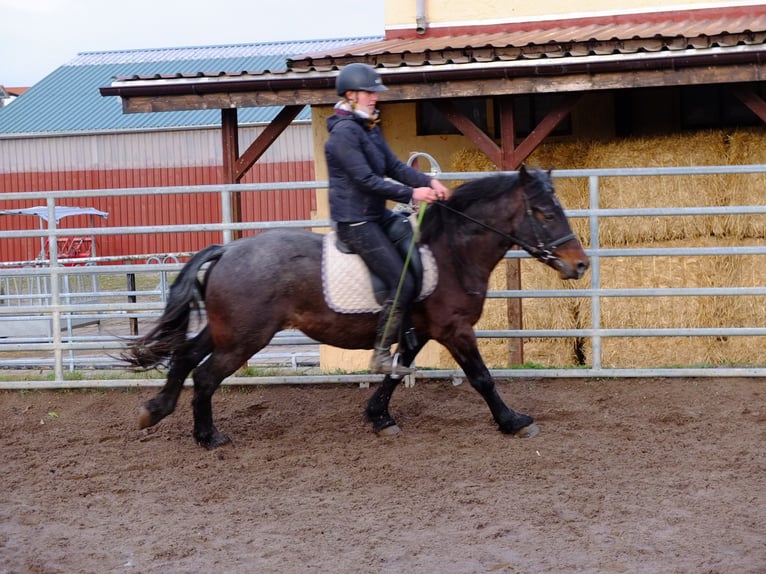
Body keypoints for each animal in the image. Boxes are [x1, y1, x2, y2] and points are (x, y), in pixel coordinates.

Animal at [126, 166, 592, 450]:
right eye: (544, 212)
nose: (581, 264)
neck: (452, 251)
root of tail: (227, 250)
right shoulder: (454, 329)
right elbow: (481, 377)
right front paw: (513, 420)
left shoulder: (417, 330)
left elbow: (394, 370)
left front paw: (379, 417)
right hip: (244, 338)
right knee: (205, 376)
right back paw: (207, 436)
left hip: (227, 331)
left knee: (186, 356)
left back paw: (156, 412)